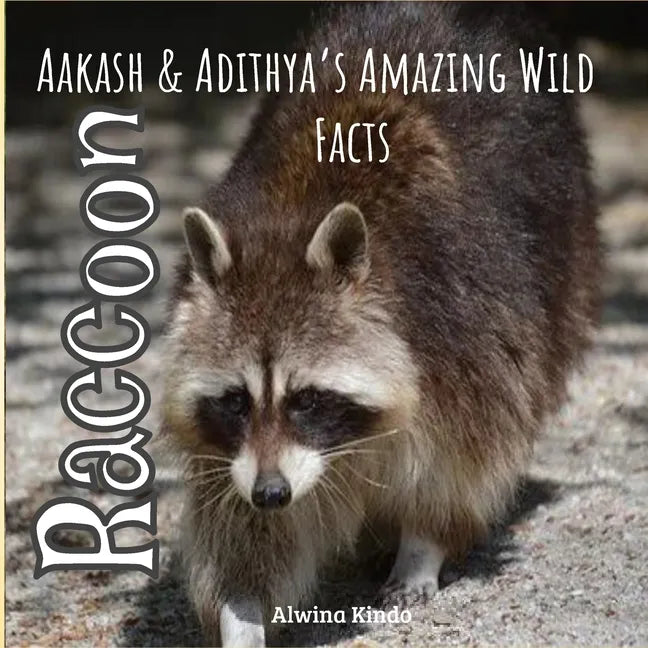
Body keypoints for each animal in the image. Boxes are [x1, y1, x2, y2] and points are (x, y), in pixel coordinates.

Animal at [163, 3, 601, 646]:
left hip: (560, 243)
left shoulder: (463, 330)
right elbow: (242, 526)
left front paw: (423, 545)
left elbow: (460, 459)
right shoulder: (231, 452)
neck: (293, 222)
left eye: (306, 398)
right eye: (236, 400)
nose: (273, 493)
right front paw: (241, 612)